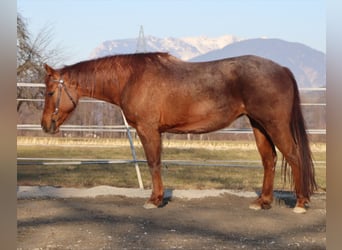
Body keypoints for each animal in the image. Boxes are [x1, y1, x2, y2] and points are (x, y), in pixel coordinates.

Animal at [41, 52, 316, 213]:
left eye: (50, 92)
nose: (45, 125)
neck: (131, 77)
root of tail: (282, 68)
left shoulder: (148, 130)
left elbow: (153, 163)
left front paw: (154, 199)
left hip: (274, 125)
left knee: (293, 156)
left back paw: (301, 203)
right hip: (258, 126)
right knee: (270, 160)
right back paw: (263, 202)